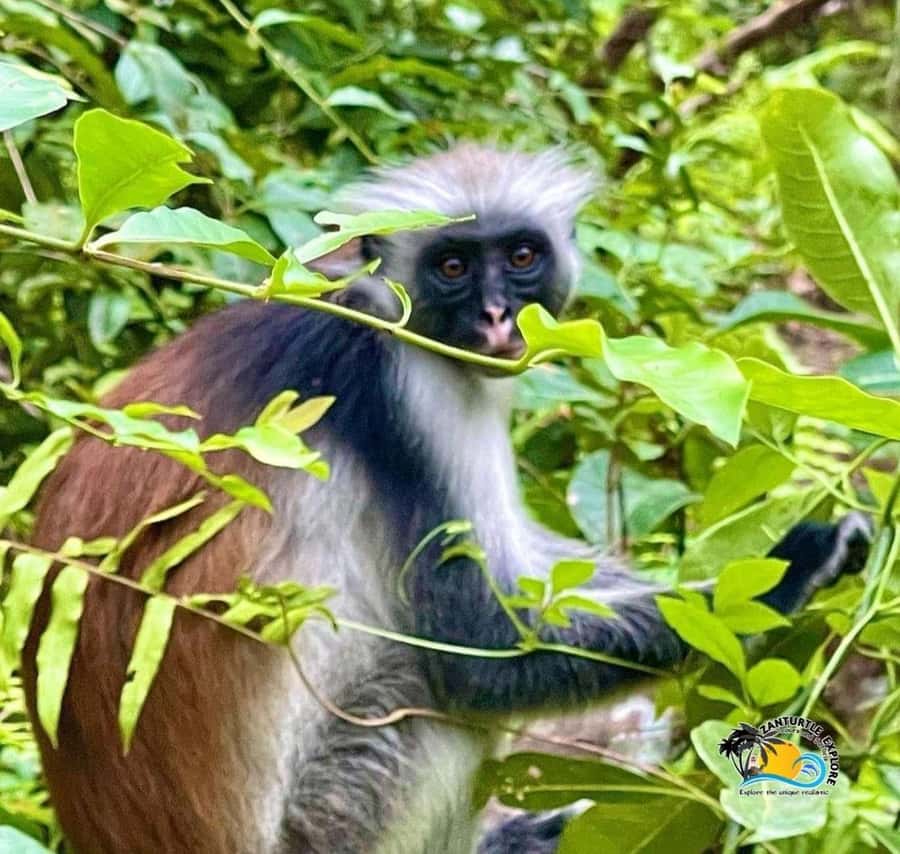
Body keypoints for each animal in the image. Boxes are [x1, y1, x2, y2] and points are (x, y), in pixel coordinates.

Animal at [20, 144, 869, 854]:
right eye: (453, 266)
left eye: (521, 255)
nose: (495, 317)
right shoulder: (411, 387)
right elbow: (476, 651)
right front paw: (789, 576)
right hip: (337, 822)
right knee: (431, 699)